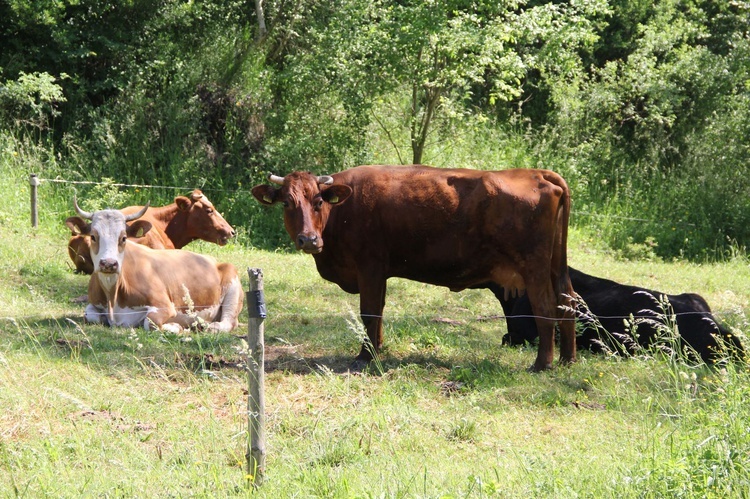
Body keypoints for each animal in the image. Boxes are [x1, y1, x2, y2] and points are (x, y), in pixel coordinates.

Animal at [69, 197, 242, 334]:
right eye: (93, 236)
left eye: (124, 238)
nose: (108, 263)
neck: (113, 295)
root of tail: (214, 260)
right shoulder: (93, 304)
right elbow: (90, 315)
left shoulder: (164, 305)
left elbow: (150, 322)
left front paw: (175, 327)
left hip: (233, 288)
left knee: (229, 321)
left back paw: (210, 326)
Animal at [253, 164, 576, 372]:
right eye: (287, 203)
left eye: (319, 200)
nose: (308, 239)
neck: (341, 212)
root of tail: (536, 173)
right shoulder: (379, 272)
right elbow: (379, 312)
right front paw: (377, 349)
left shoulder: (369, 266)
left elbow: (369, 312)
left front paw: (364, 357)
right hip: (555, 267)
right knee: (568, 301)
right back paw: (567, 359)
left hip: (533, 267)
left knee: (545, 306)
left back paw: (542, 364)